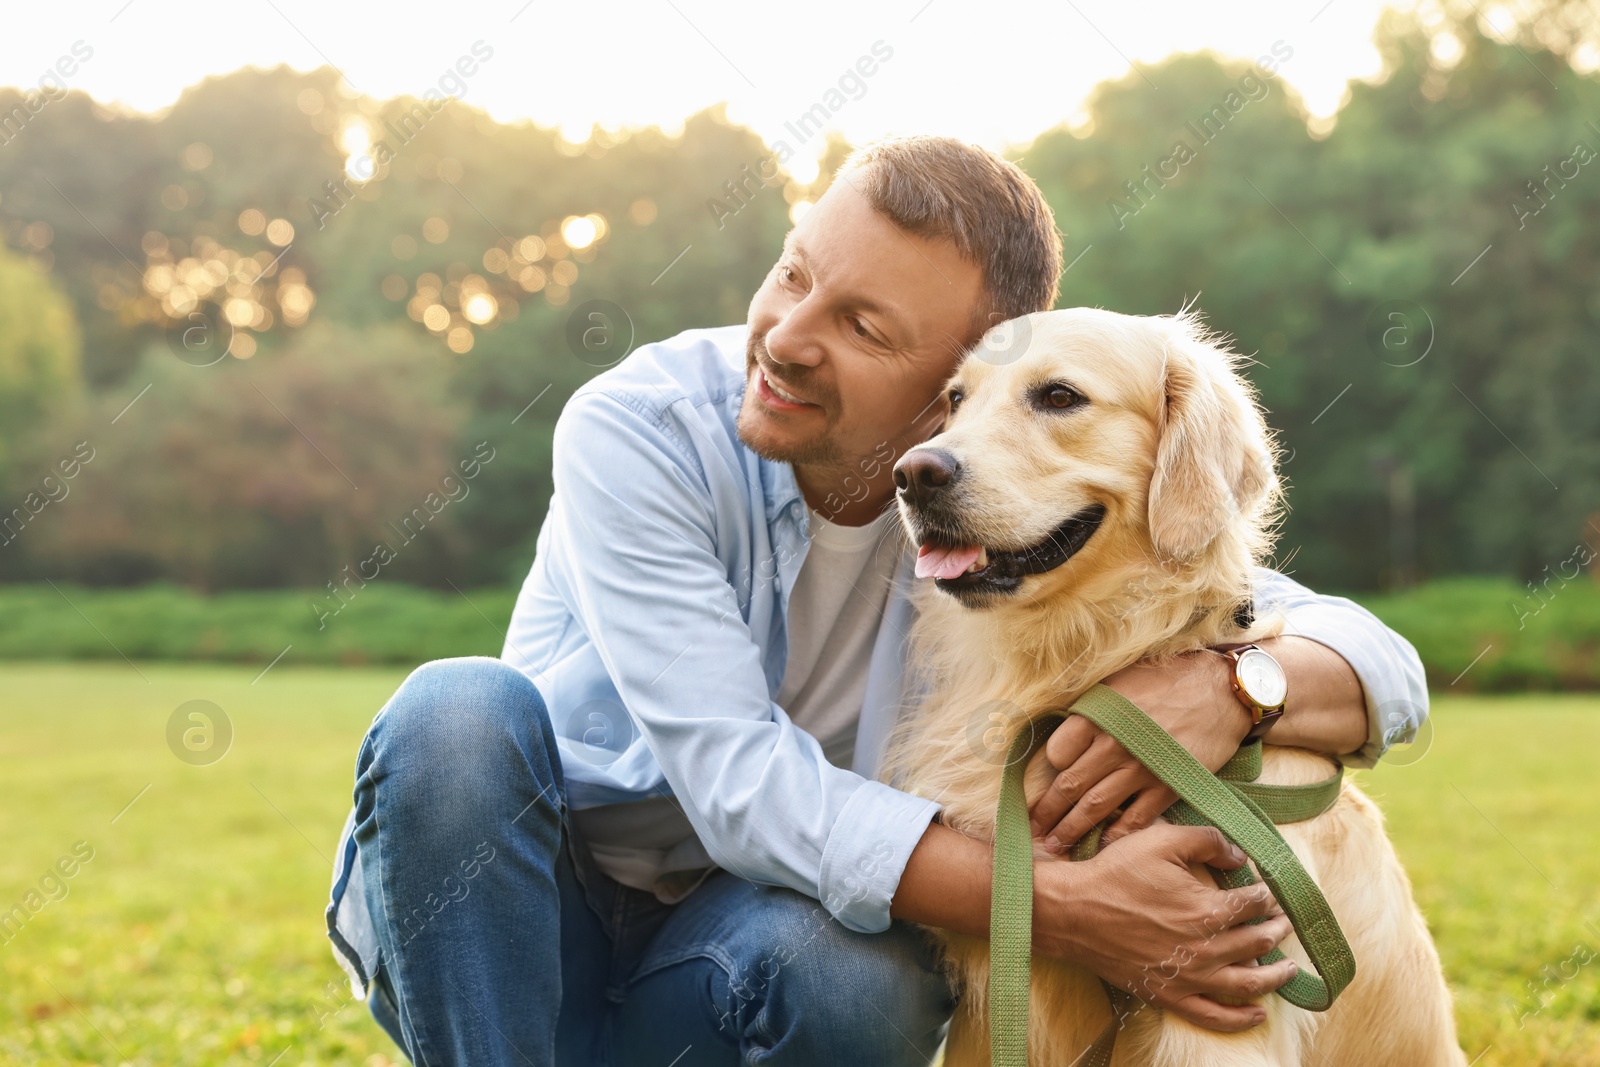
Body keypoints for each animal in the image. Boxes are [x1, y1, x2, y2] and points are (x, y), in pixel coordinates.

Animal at [889, 308, 1465, 1067]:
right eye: (956, 399)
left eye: (1060, 397)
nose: (913, 474)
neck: (1073, 661)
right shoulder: (997, 991)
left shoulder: (1223, 997)